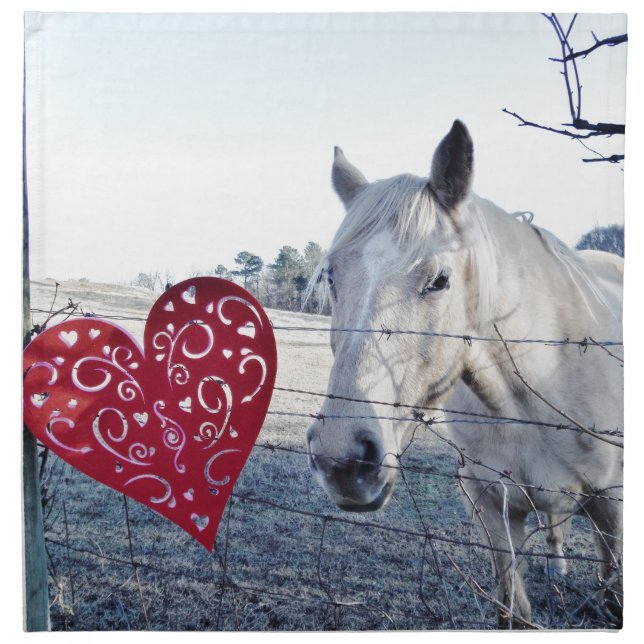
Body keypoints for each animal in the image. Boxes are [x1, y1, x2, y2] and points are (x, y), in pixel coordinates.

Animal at [305, 121, 623, 628]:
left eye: (440, 281)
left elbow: (615, 593)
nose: (344, 462)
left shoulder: (612, 504)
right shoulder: (491, 504)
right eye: (332, 277)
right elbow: (513, 607)